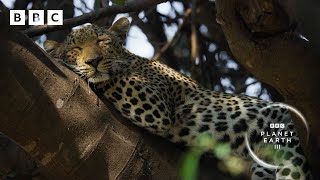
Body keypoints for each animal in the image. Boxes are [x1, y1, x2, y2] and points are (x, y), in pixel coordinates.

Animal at [43, 17, 312, 180]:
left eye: (102, 41)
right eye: (76, 49)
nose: (93, 61)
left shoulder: (153, 103)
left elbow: (112, 78)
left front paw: (68, 65)